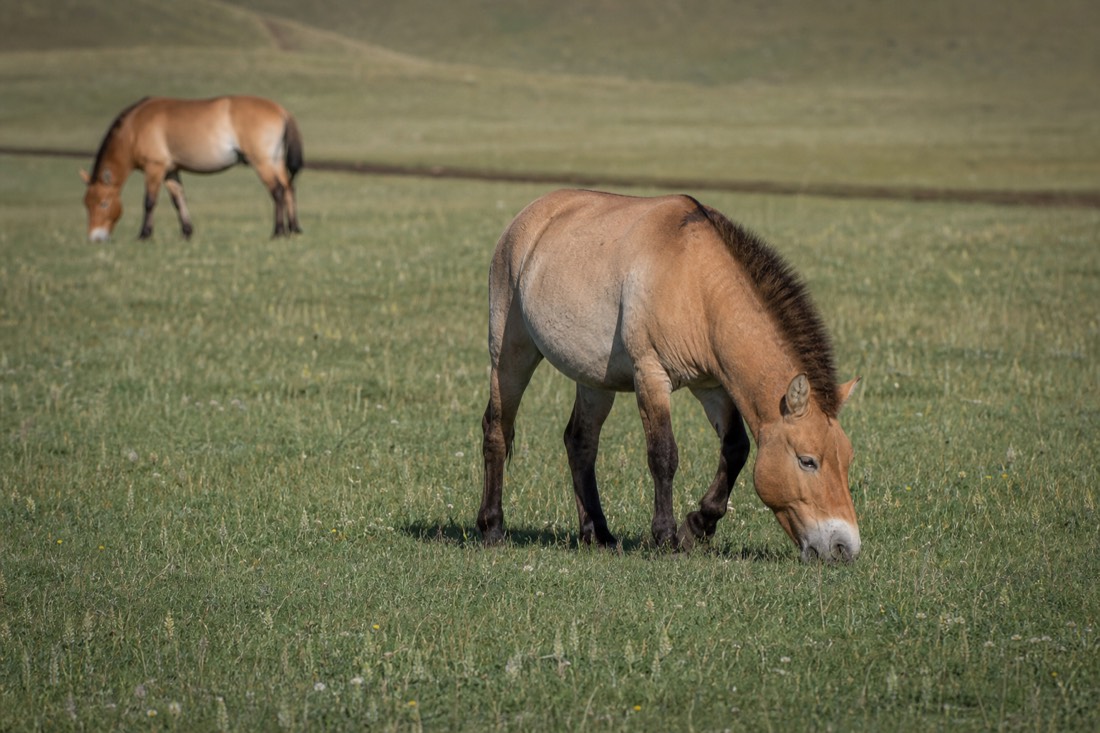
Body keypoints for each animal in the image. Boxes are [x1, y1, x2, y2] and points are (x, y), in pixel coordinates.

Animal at [81, 95, 303, 242]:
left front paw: (144, 234)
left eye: (104, 203)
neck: (134, 129)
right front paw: (187, 231)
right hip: (276, 161)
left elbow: (149, 202)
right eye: (86, 204)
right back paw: (294, 228)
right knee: (289, 188)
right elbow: (178, 200)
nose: (95, 237)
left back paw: (278, 231)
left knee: (278, 191)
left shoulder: (155, 169)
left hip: (262, 162)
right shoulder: (171, 171)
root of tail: (281, 110)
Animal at [478, 189, 862, 562]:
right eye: (807, 461)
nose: (844, 547)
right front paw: (666, 537)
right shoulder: (650, 375)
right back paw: (492, 529)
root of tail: (528, 218)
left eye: (847, 458)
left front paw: (697, 526)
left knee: (580, 442)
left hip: (593, 380)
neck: (697, 285)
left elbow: (736, 448)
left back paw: (597, 535)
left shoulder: (712, 387)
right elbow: (663, 454)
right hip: (510, 355)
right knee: (498, 429)